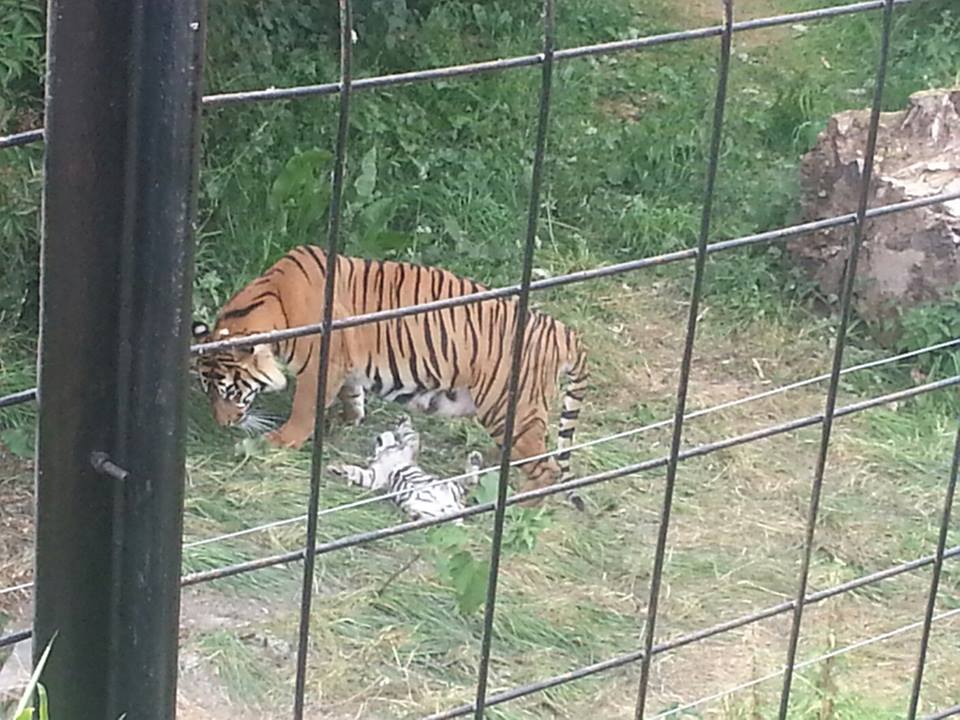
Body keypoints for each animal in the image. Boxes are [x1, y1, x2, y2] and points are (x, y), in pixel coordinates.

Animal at [190, 245, 588, 507]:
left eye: (228, 392)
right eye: (207, 392)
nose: (222, 424)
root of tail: (561, 330)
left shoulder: (321, 362)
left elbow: (304, 408)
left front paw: (281, 440)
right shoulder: (345, 362)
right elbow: (352, 394)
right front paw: (346, 420)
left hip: (510, 406)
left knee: (546, 469)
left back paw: (517, 508)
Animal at [328, 414, 483, 523]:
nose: (378, 436)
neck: (388, 451)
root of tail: (453, 507)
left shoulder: (409, 449)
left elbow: (410, 433)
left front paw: (404, 420)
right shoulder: (375, 477)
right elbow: (356, 470)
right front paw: (336, 467)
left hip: (452, 486)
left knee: (470, 482)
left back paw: (474, 459)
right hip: (435, 504)